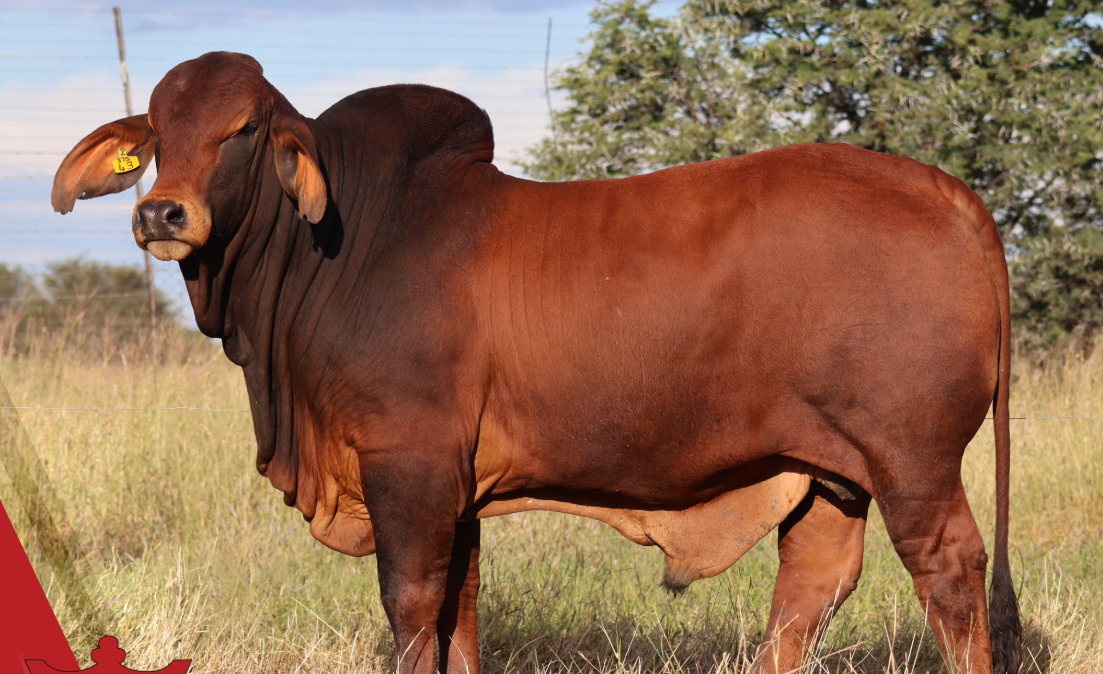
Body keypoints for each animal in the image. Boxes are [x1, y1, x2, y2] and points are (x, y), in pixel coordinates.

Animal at [53, 52, 1021, 674]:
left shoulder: (408, 466)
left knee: (950, 577)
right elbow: (462, 611)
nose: (162, 215)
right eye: (156, 130)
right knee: (809, 590)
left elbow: (412, 606)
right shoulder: (457, 490)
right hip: (828, 473)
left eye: (243, 129)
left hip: (912, 461)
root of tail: (945, 189)